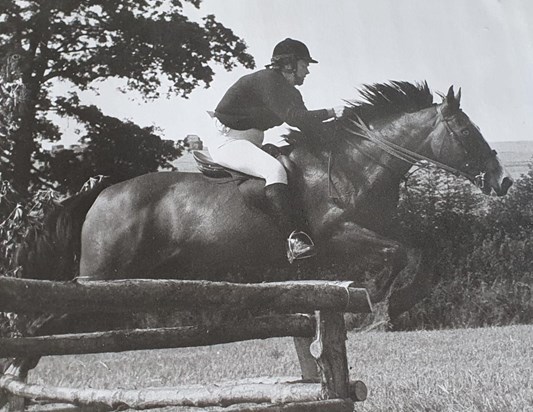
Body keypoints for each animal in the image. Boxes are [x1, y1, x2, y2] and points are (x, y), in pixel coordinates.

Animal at [2, 80, 512, 384]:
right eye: (466, 132)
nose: (503, 181)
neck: (357, 163)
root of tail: (105, 192)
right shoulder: (338, 233)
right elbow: (398, 255)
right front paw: (381, 309)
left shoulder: (377, 229)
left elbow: (419, 253)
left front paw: (393, 305)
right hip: (102, 278)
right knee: (44, 324)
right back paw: (16, 373)